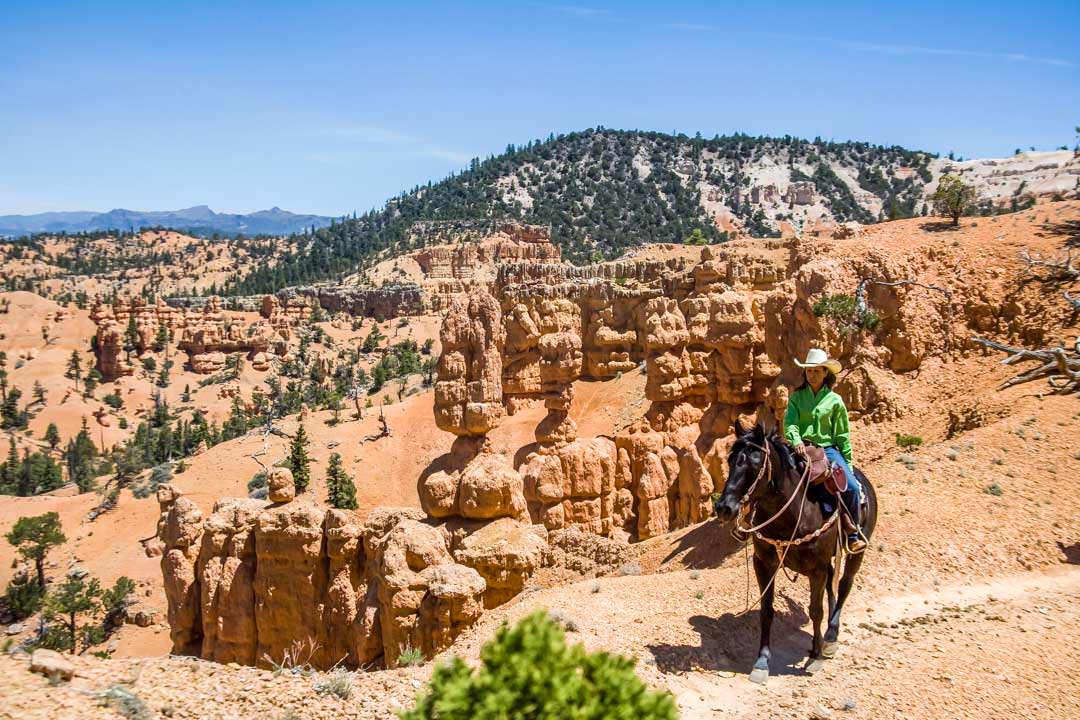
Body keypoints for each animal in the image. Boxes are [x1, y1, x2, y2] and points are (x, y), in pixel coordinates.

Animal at [717, 418, 876, 686]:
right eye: (729, 460)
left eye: (755, 463)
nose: (723, 507)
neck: (791, 515)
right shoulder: (763, 563)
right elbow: (767, 611)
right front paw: (762, 662)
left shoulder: (816, 568)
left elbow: (815, 610)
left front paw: (816, 657)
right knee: (833, 585)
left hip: (857, 550)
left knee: (845, 584)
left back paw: (830, 638)